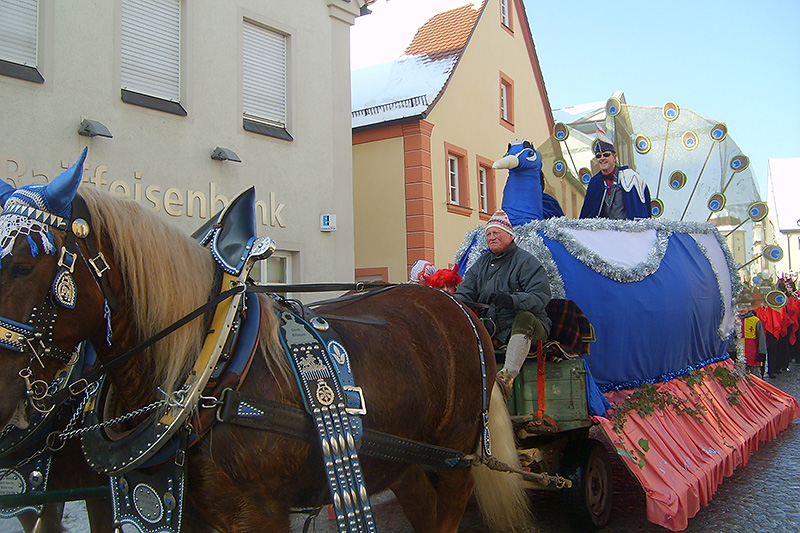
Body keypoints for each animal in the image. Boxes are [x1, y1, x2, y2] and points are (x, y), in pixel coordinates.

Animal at [0, 152, 532, 528]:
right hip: (403, 461)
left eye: (23, 265)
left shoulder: (256, 512)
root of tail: (457, 303)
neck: (211, 369)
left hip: (456, 459)